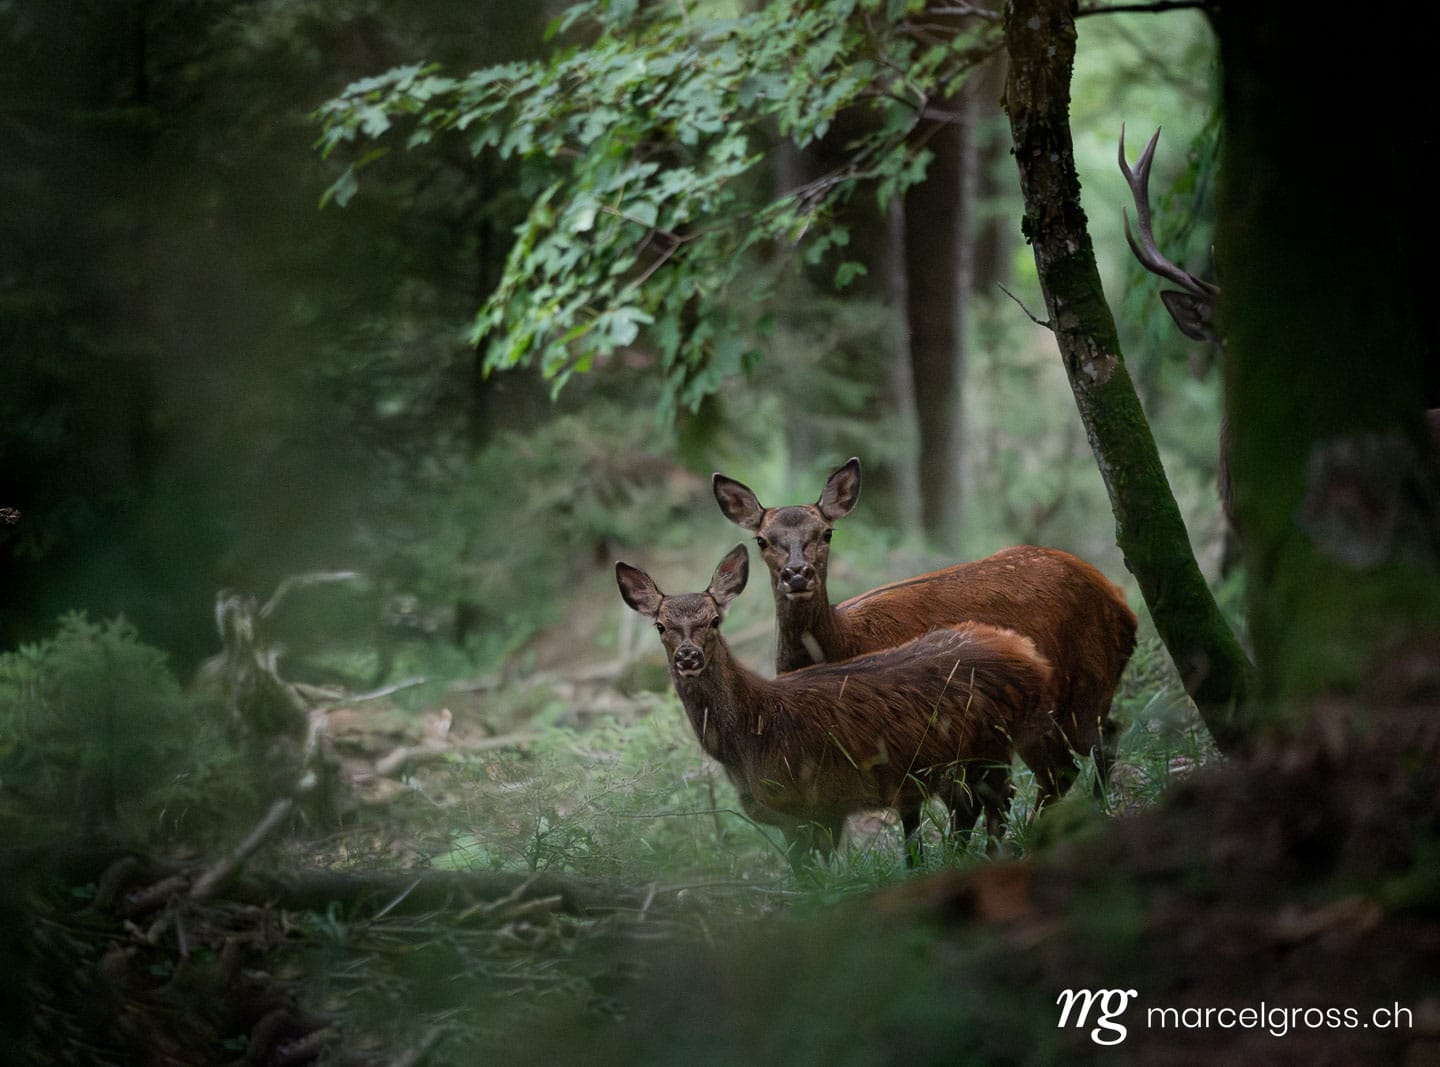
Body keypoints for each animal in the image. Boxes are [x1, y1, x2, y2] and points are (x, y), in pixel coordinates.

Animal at [615, 544, 1055, 868]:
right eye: (660, 625)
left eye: (714, 620)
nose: (688, 656)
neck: (749, 732)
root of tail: (1030, 656)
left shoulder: (813, 800)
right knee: (973, 807)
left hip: (990, 747)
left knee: (1001, 800)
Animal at [713, 459, 1137, 810]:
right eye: (762, 539)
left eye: (826, 533)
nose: (797, 574)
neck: (843, 641)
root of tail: (1121, 603)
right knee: (1066, 767)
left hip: (1085, 681)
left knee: (1096, 744)